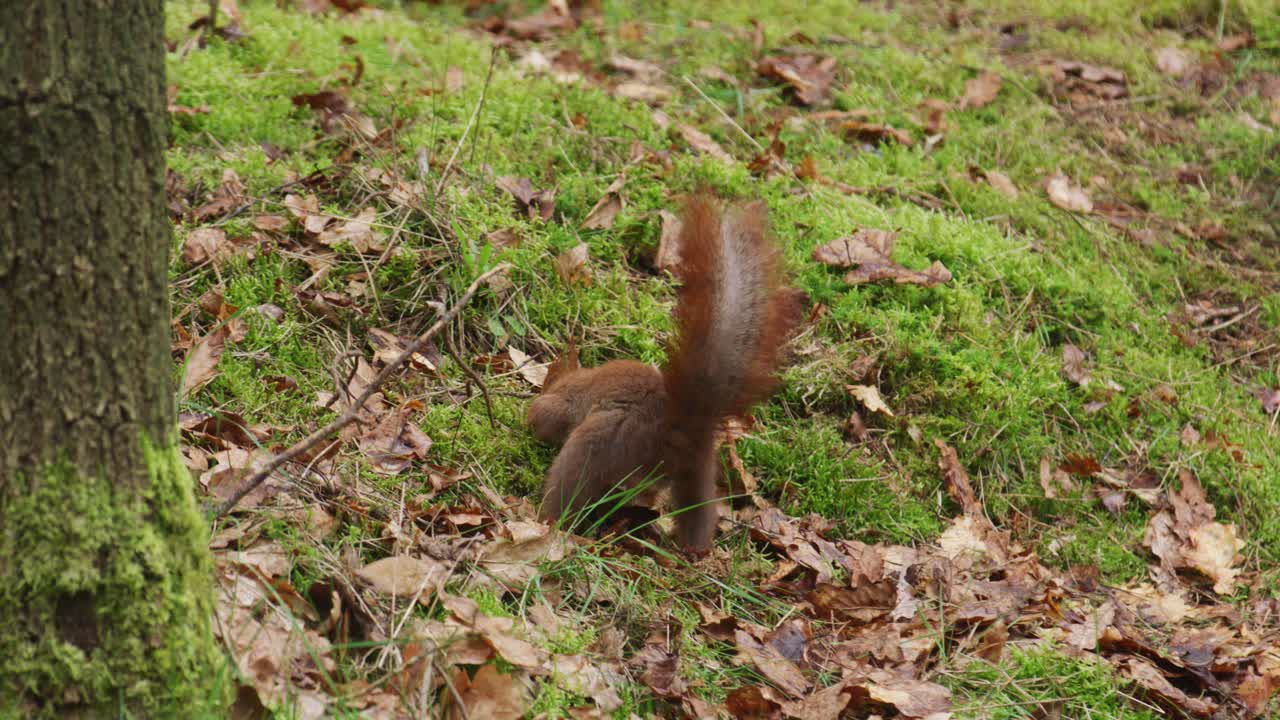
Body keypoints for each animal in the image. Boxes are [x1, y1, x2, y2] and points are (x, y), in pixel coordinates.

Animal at [527, 193, 801, 553]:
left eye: (548, 379)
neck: (576, 379)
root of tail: (681, 428)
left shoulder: (566, 403)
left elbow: (544, 416)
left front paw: (528, 421)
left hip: (602, 440)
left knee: (570, 485)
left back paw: (548, 519)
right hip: (688, 470)